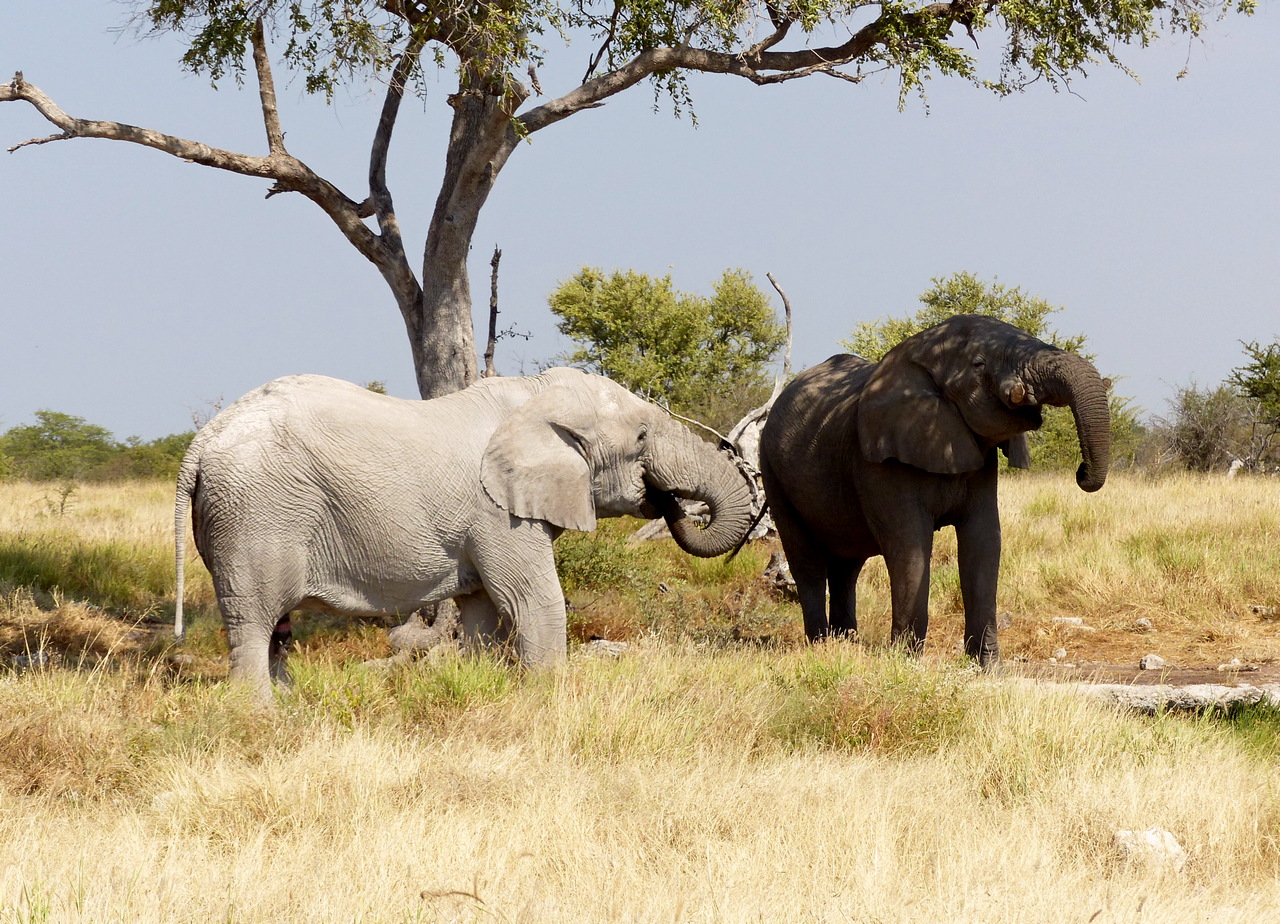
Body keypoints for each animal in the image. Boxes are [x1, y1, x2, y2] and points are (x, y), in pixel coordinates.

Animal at [177, 371, 757, 696]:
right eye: (640, 436)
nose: (666, 496)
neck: (532, 397)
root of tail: (199, 444)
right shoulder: (498, 515)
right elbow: (534, 600)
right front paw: (549, 703)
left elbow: (482, 610)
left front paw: (480, 688)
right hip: (255, 514)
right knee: (254, 622)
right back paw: (260, 718)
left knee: (275, 630)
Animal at [757, 313, 1111, 665]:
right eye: (979, 364)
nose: (1081, 472)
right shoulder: (881, 461)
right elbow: (910, 546)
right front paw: (906, 661)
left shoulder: (980, 461)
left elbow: (984, 542)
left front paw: (987, 666)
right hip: (772, 471)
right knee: (808, 562)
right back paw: (821, 645)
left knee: (848, 565)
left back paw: (846, 643)